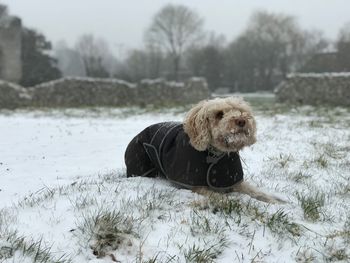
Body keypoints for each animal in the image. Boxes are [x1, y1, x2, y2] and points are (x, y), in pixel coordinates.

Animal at [125, 97, 284, 204]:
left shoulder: (234, 181)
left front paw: (275, 201)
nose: (242, 121)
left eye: (240, 111)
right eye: (219, 114)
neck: (215, 154)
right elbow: (218, 196)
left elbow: (255, 191)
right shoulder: (196, 186)